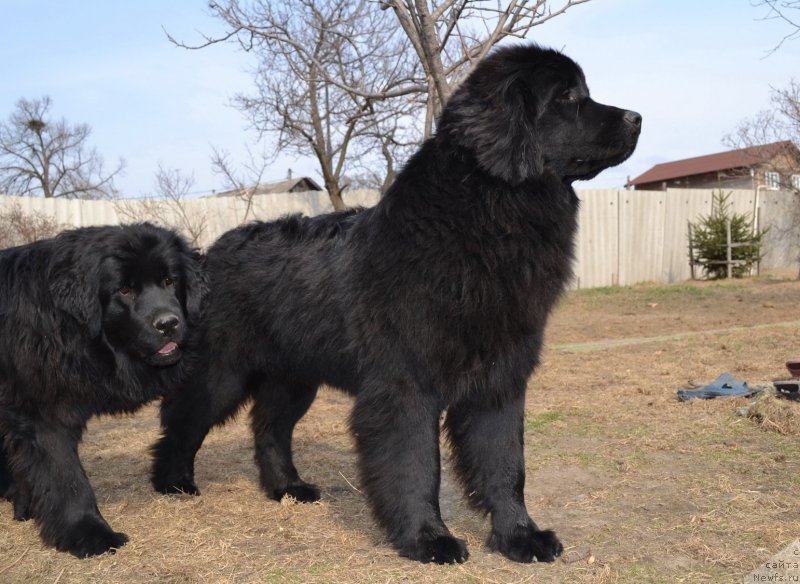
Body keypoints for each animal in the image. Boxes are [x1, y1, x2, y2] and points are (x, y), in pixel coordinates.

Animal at [0, 224, 206, 556]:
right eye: (123, 290)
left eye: (169, 281)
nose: (168, 323)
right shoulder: (41, 413)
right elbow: (66, 476)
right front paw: (90, 534)